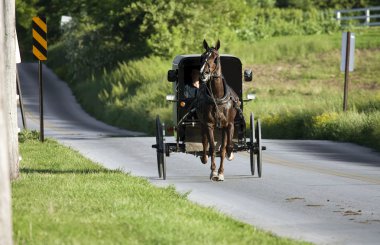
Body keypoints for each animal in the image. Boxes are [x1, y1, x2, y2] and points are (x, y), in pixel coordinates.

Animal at [196, 39, 240, 182]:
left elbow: (226, 148)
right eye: (202, 56)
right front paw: (214, 172)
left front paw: (221, 171)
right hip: (203, 124)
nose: (203, 73)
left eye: (215, 58)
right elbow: (211, 147)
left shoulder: (229, 125)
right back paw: (204, 158)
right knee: (204, 142)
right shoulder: (209, 124)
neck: (217, 97)